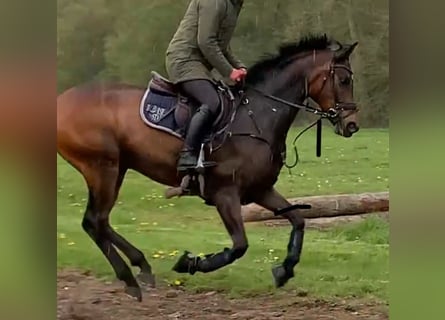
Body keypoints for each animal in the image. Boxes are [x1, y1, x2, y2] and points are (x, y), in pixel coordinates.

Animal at [57, 35, 360, 302]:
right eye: (344, 80)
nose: (352, 125)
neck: (258, 116)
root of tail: (62, 101)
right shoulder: (225, 195)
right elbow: (239, 247)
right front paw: (190, 263)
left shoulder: (260, 190)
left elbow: (298, 220)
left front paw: (284, 270)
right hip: (102, 168)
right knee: (94, 221)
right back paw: (131, 279)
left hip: (117, 168)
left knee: (100, 222)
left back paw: (141, 266)